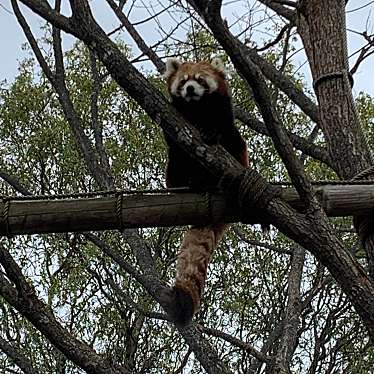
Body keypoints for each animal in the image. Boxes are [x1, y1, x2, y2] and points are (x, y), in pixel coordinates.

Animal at [164, 58, 248, 324]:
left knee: (235, 144)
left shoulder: (222, 110)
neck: (197, 110)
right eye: (183, 81)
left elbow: (224, 129)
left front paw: (211, 133)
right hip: (173, 171)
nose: (190, 89)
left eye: (200, 79)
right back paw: (191, 183)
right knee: (176, 163)